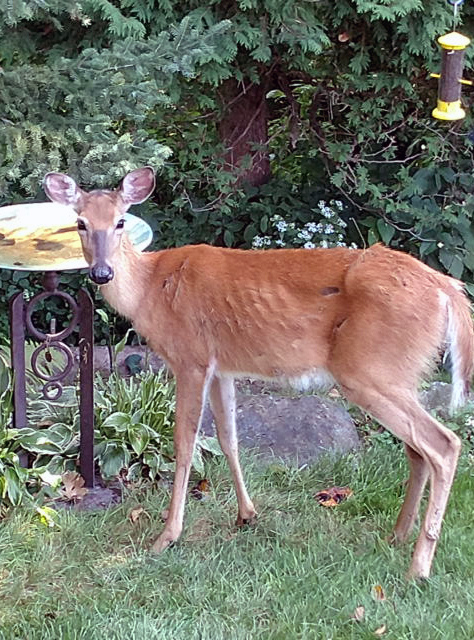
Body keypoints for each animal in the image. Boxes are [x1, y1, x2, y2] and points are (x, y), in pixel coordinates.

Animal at [42, 168, 472, 576]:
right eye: (80, 223)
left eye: (121, 221)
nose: (101, 273)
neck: (150, 289)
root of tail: (448, 289)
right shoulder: (222, 367)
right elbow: (229, 439)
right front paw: (246, 514)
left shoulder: (191, 358)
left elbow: (185, 444)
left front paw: (167, 536)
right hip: (399, 372)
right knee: (417, 449)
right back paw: (397, 536)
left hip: (369, 369)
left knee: (444, 444)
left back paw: (418, 566)